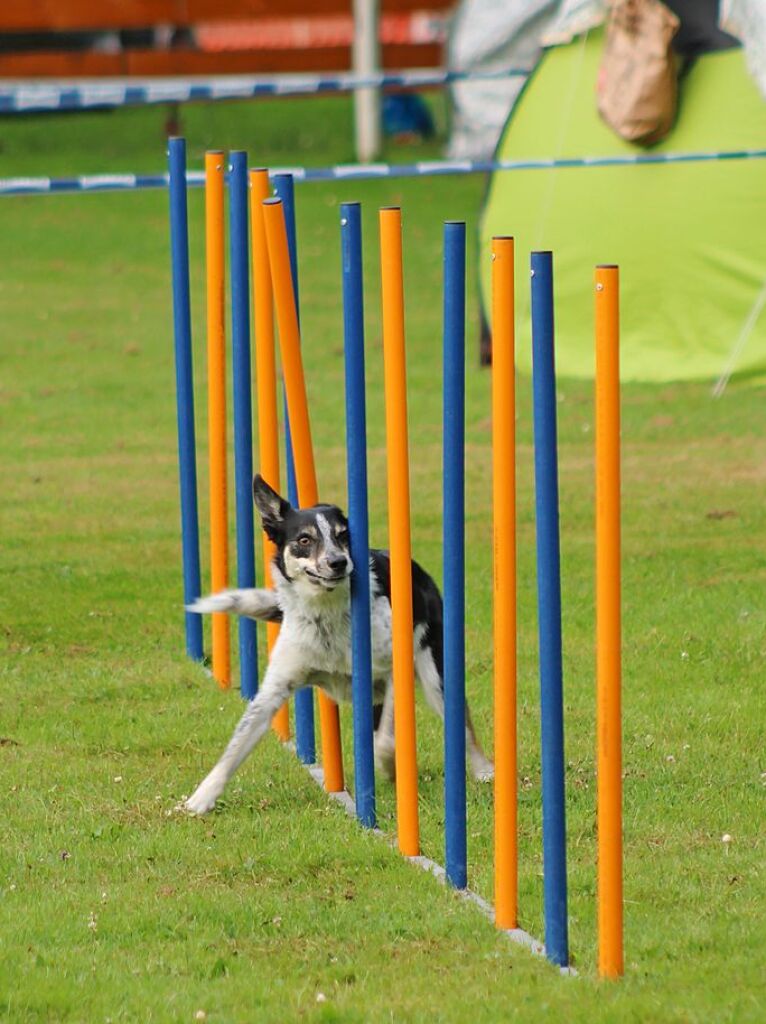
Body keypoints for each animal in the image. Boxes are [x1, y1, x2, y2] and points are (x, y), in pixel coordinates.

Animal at [184, 473, 491, 815]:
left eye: (342, 535)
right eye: (305, 539)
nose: (338, 562)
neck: (325, 615)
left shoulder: (393, 671)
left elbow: (384, 741)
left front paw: (390, 767)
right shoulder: (273, 690)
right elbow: (235, 746)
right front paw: (200, 799)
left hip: (434, 675)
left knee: (462, 726)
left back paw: (483, 770)